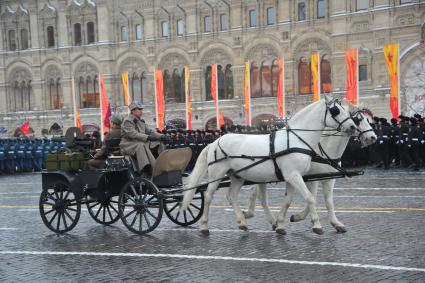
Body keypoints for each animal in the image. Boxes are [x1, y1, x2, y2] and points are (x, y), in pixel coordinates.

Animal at [181, 94, 356, 236]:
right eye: (335, 110)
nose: (353, 127)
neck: (297, 139)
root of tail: (215, 142)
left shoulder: (293, 176)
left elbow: (288, 200)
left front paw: (280, 225)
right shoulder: (294, 175)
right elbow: (310, 198)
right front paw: (317, 225)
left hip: (237, 175)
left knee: (232, 196)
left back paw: (242, 222)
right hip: (216, 174)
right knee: (208, 196)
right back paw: (204, 226)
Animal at [240, 105, 376, 234]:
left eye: (368, 119)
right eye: (358, 119)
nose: (373, 137)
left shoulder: (329, 178)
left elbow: (328, 201)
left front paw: (335, 223)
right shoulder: (311, 178)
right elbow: (312, 197)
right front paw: (302, 218)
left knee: (258, 193)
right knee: (259, 195)